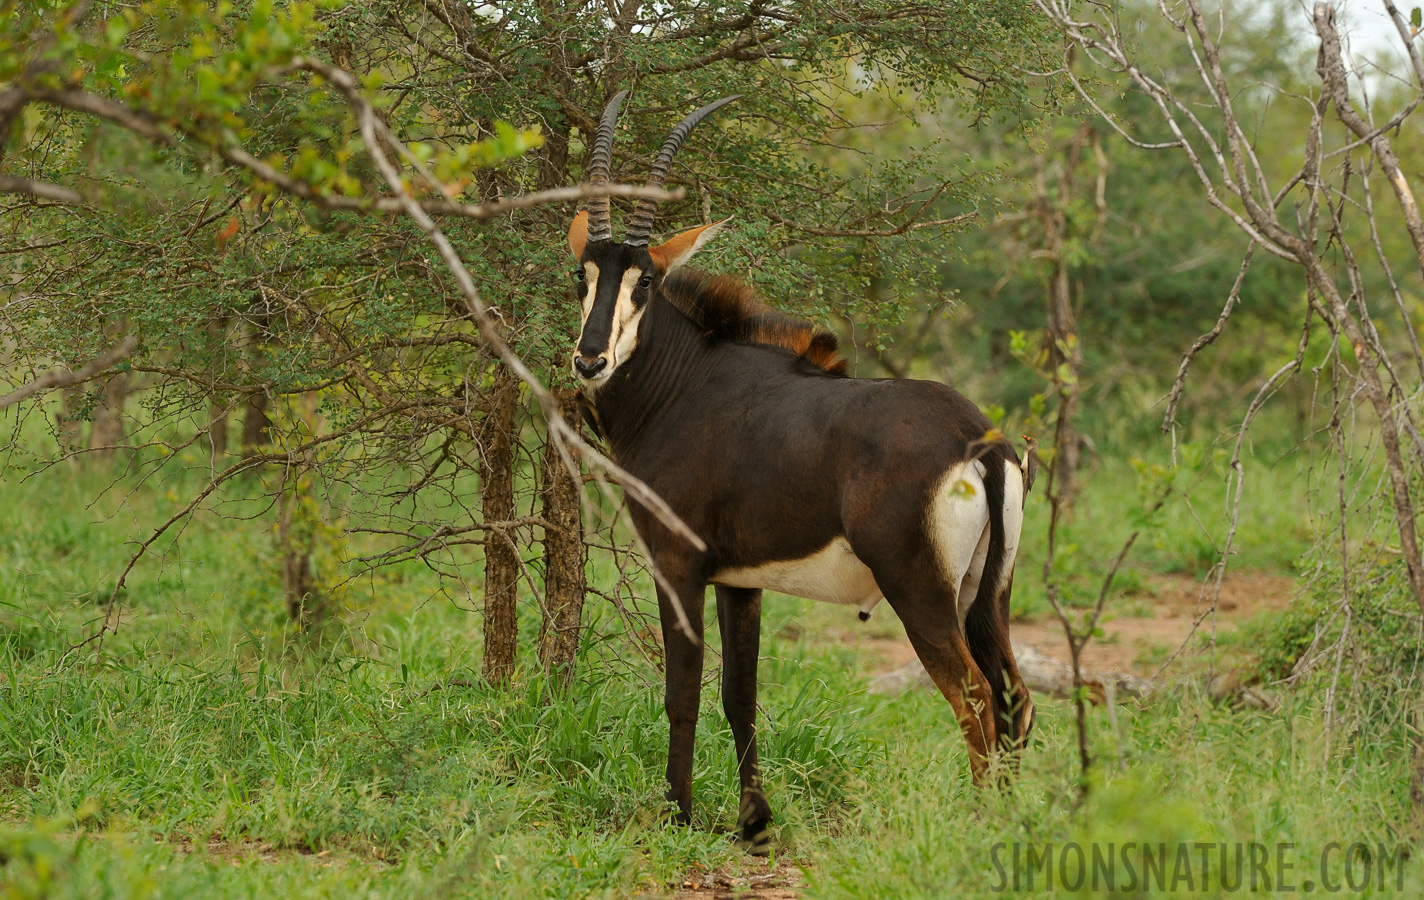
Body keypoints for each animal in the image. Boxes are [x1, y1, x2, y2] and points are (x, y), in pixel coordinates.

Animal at [566, 93, 1036, 860]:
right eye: (584, 274)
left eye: (647, 282)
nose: (589, 360)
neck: (683, 385)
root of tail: (981, 440)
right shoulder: (740, 580)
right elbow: (741, 694)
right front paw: (753, 822)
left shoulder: (678, 564)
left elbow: (683, 690)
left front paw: (677, 815)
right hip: (986, 594)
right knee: (1012, 697)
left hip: (920, 593)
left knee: (973, 697)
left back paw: (981, 824)